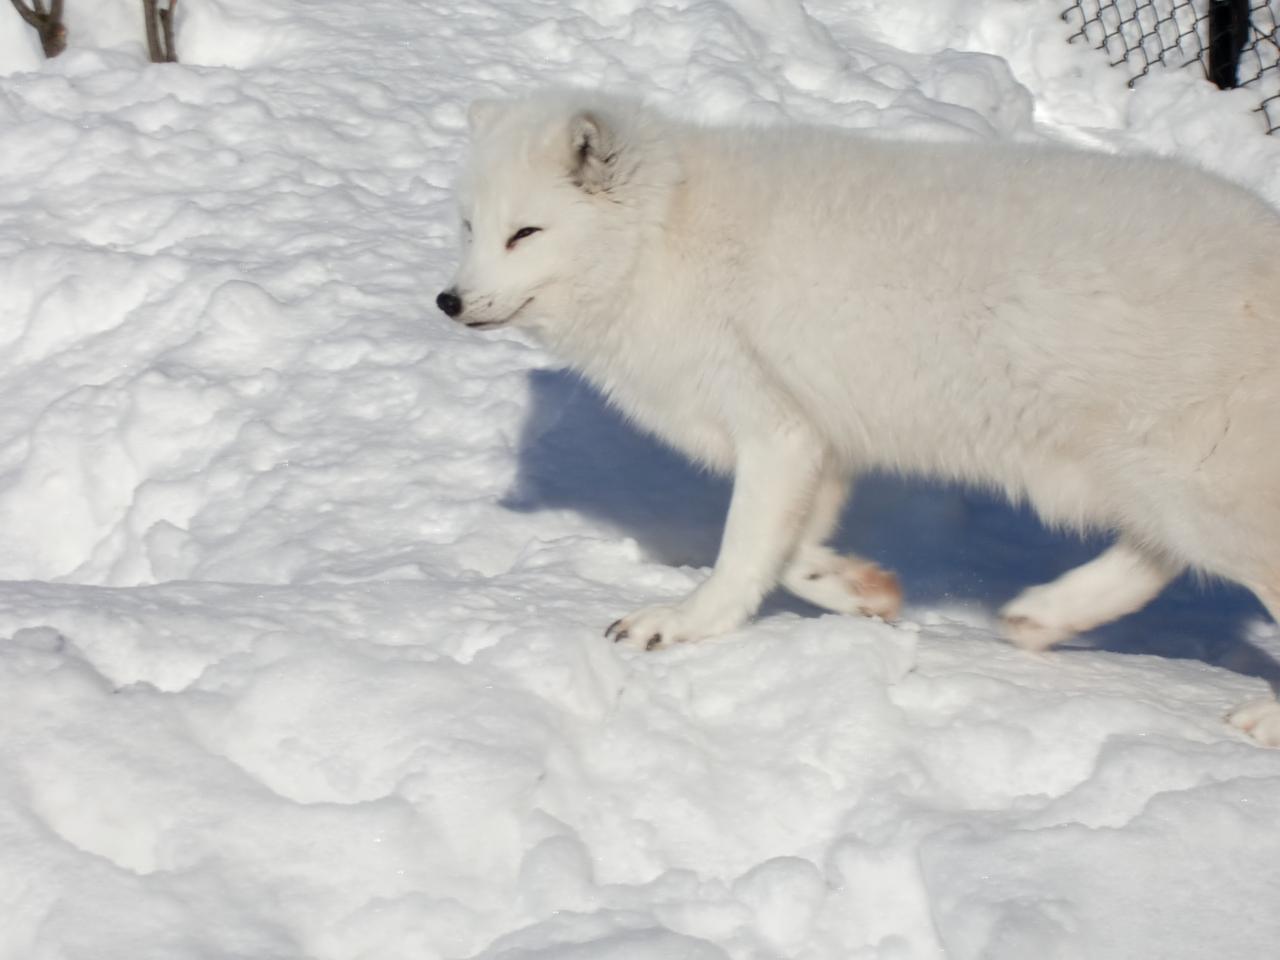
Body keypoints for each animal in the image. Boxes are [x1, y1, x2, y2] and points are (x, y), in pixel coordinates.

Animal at [438, 90, 1280, 745]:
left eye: (526, 233)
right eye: (470, 228)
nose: (449, 301)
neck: (666, 236)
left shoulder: (773, 430)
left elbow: (743, 557)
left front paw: (682, 626)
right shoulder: (819, 443)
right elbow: (794, 559)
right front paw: (864, 593)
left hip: (1202, 490)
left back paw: (1260, 719)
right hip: (1147, 483)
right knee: (1155, 558)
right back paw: (1042, 616)